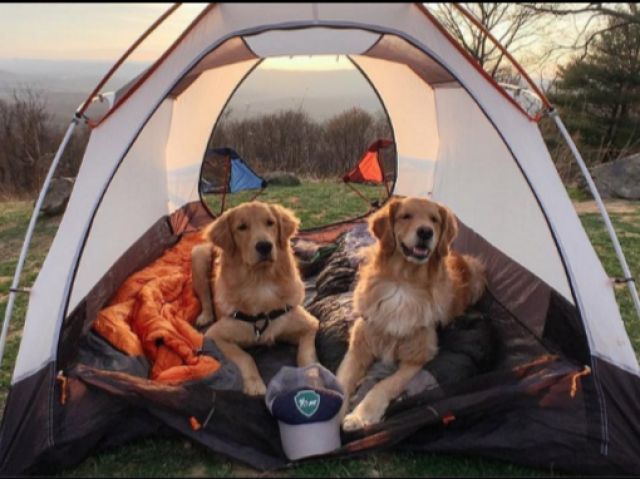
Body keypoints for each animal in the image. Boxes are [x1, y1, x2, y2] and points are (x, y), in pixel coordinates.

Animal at [336, 197, 484, 430]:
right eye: (406, 216)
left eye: (434, 219)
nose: (425, 232)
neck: (404, 283)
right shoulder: (358, 347)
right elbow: (341, 383)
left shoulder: (417, 358)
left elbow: (385, 384)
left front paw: (362, 414)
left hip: (476, 271)